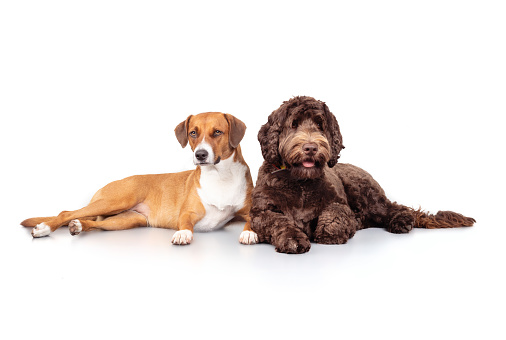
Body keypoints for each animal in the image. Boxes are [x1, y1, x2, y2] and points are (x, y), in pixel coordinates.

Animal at [20, 112, 258, 244]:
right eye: (193, 133)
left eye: (217, 132)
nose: (200, 155)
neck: (220, 176)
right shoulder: (187, 213)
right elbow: (185, 224)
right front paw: (183, 234)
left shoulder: (250, 211)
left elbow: (252, 220)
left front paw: (249, 233)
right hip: (117, 200)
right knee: (65, 212)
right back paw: (44, 228)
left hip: (127, 220)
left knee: (93, 223)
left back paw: (78, 226)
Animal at [250, 95, 474, 252]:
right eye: (294, 124)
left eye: (320, 124)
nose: (311, 147)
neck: (301, 182)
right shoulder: (261, 212)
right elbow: (278, 221)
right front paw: (293, 239)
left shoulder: (339, 203)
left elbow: (335, 213)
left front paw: (329, 232)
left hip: (364, 192)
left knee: (395, 208)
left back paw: (401, 220)